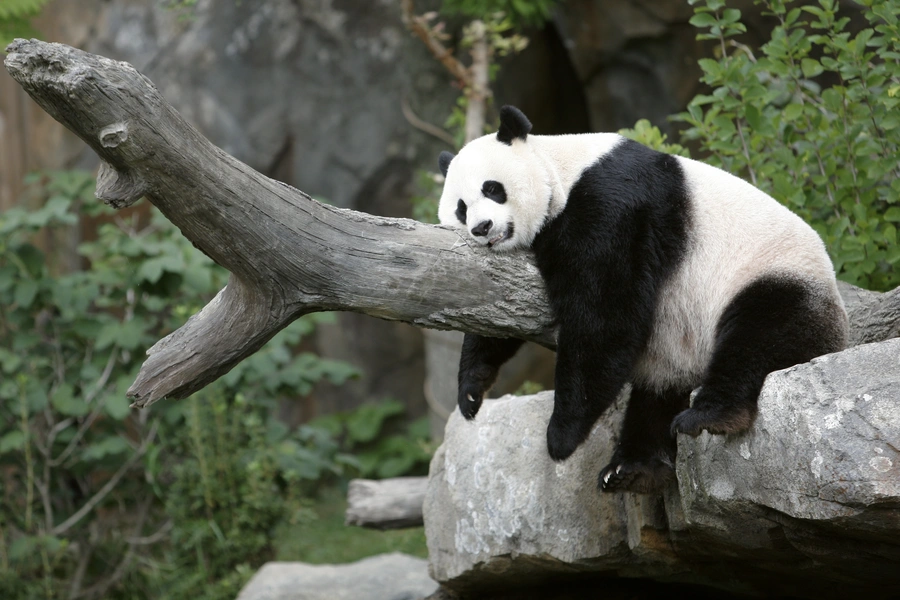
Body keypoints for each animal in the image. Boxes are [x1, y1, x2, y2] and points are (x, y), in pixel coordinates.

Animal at [440, 105, 848, 494]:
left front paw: (561, 436)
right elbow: (497, 307)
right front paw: (472, 391)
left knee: (760, 336)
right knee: (657, 394)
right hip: (676, 350)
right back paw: (633, 468)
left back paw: (710, 415)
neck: (561, 169)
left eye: (492, 188)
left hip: (773, 277)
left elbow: (604, 315)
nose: (482, 228)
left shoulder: (611, 204)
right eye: (461, 207)